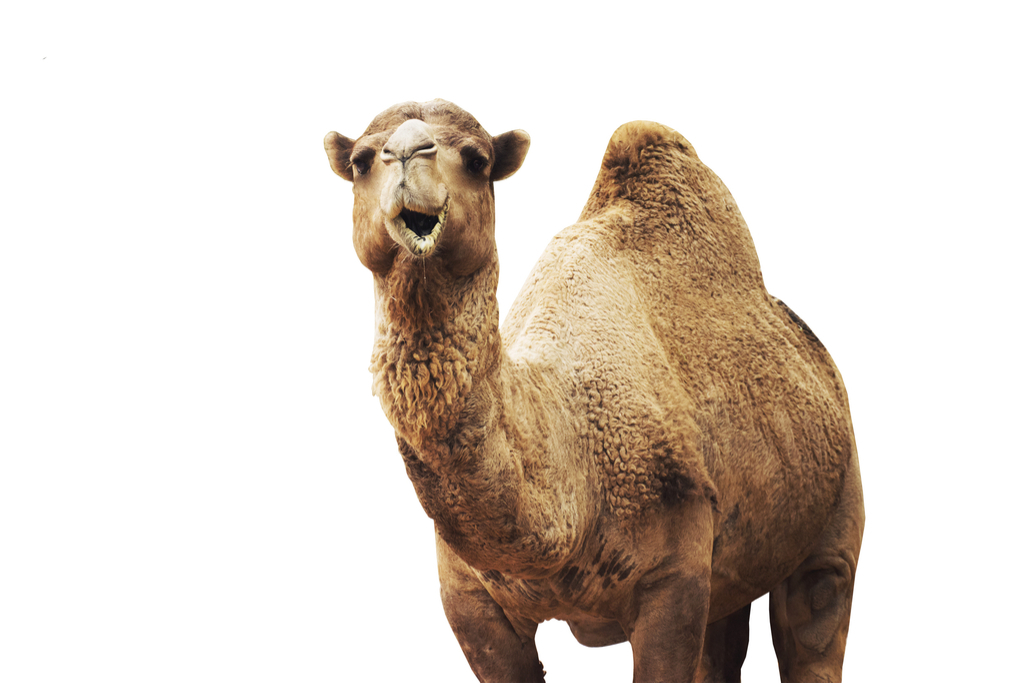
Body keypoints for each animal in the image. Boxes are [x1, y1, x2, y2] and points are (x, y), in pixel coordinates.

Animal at [324, 99, 864, 682]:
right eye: (359, 162)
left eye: (476, 159)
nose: (406, 152)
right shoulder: (469, 597)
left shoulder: (673, 576)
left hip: (838, 496)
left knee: (815, 613)